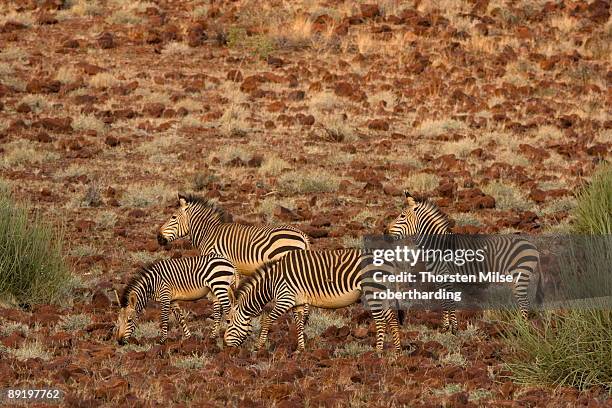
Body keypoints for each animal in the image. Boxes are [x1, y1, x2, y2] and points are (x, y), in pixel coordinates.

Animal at [222, 249, 404, 354]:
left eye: (228, 321)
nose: (225, 347)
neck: (271, 283)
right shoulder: (298, 302)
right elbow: (299, 323)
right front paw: (300, 349)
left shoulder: (285, 298)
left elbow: (267, 320)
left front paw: (258, 347)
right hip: (382, 291)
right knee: (391, 318)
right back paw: (397, 350)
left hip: (373, 290)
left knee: (380, 320)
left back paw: (378, 351)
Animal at [388, 190, 540, 334]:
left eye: (402, 216)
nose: (386, 231)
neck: (437, 246)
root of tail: (532, 245)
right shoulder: (438, 278)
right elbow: (443, 301)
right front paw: (446, 328)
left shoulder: (447, 276)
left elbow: (450, 301)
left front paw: (454, 329)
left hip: (520, 275)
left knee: (525, 302)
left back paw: (522, 329)